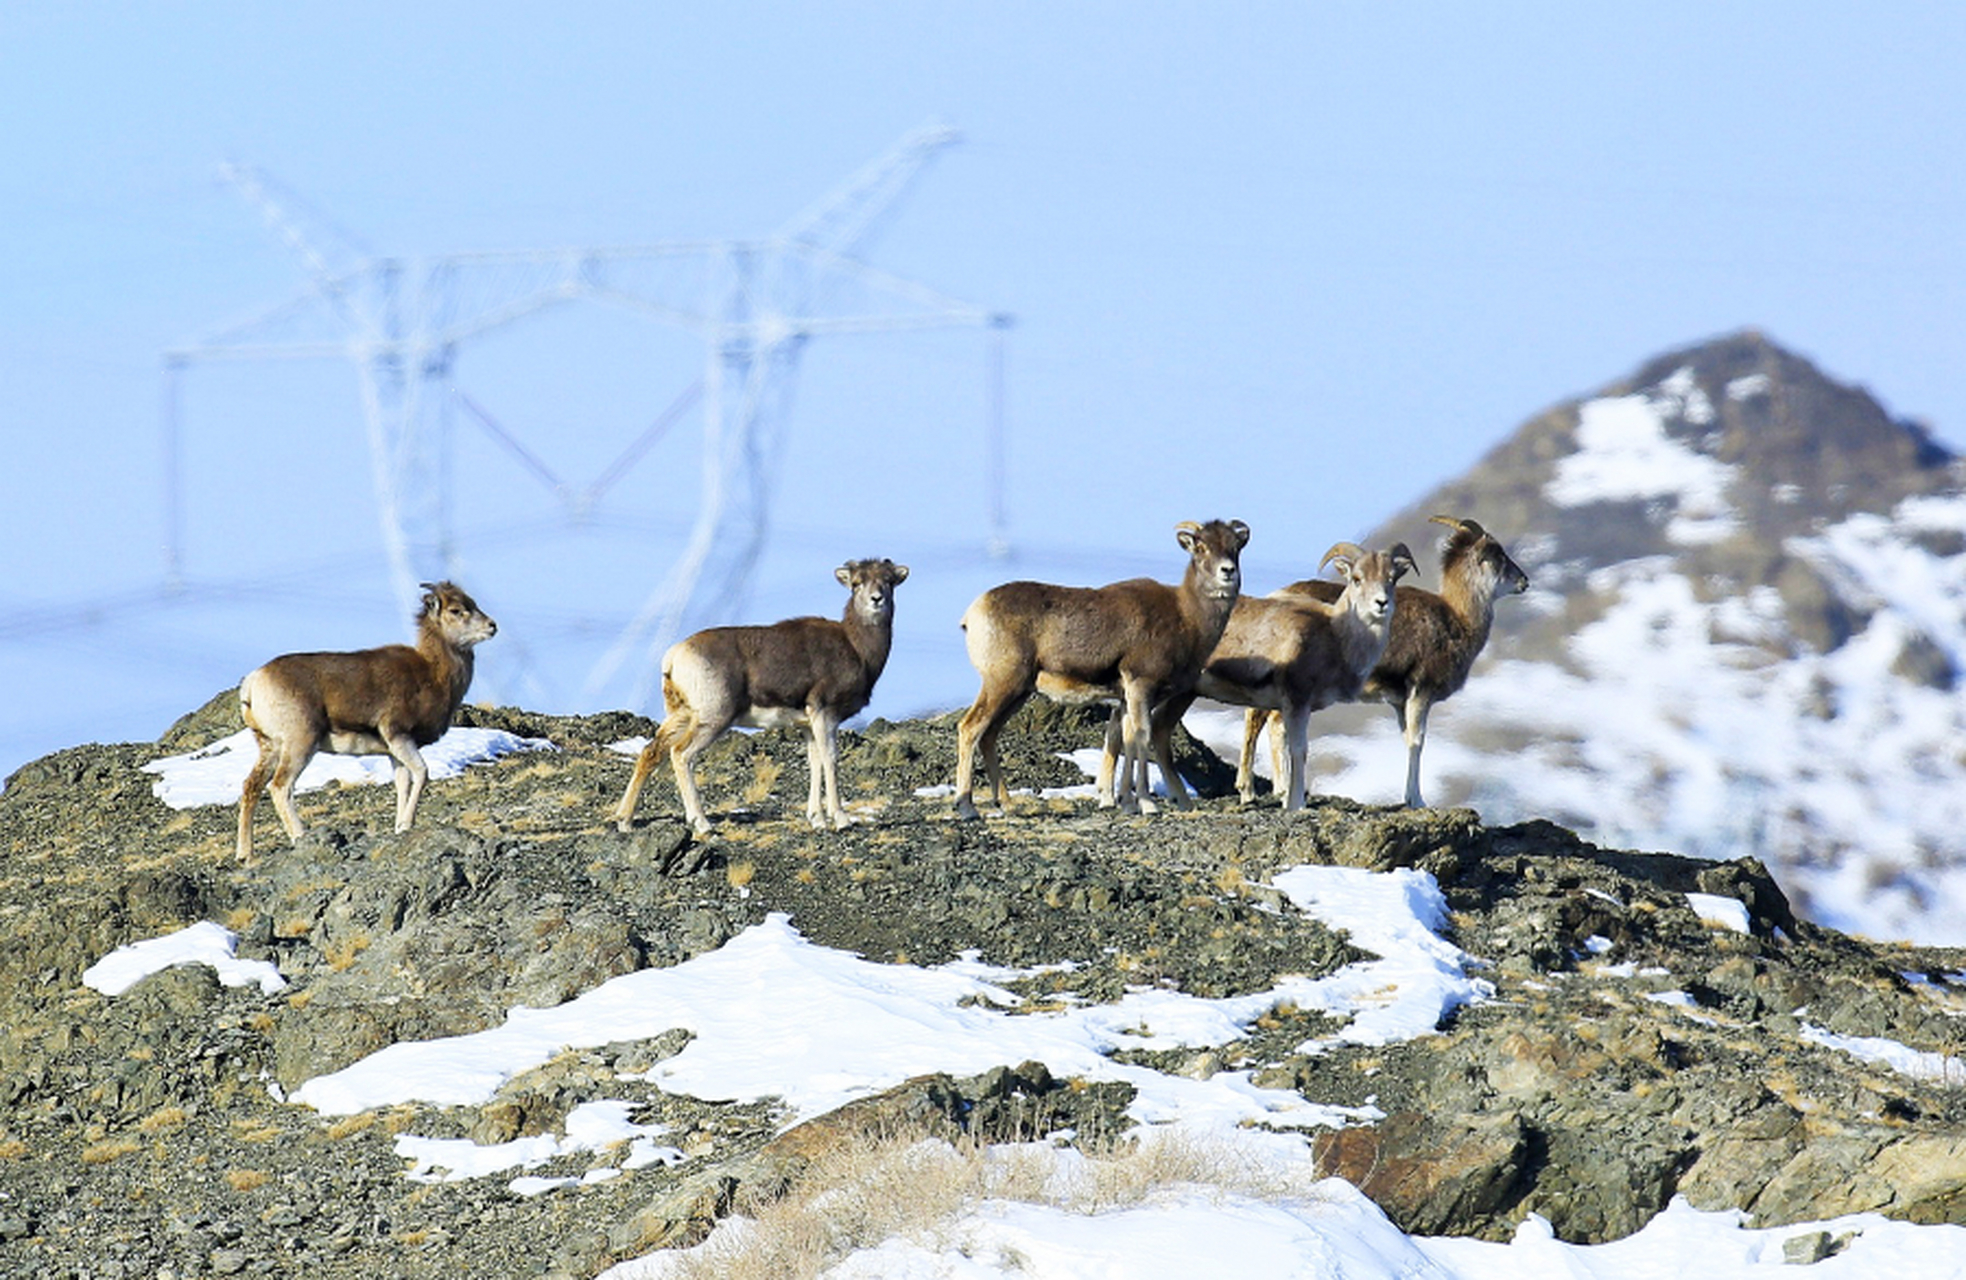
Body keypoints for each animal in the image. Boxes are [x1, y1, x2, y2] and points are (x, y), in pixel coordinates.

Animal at [233, 581, 495, 861]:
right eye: (456, 610)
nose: (492, 626)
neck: (432, 675)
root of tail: (254, 681)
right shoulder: (398, 736)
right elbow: (422, 774)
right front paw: (407, 824)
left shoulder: (394, 752)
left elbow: (403, 783)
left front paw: (400, 827)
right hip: (300, 745)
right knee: (280, 787)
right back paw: (300, 836)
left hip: (270, 747)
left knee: (251, 787)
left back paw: (245, 855)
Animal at [1108, 542, 1415, 810]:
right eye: (1357, 579)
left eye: (1391, 579)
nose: (1381, 603)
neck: (1334, 635)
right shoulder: (1296, 703)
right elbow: (1299, 751)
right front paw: (1295, 804)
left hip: (1182, 695)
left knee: (1155, 730)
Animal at [1258, 515, 1533, 806]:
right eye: (1497, 554)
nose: (1523, 581)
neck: (1458, 621)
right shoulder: (1421, 692)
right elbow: (1417, 742)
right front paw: (1416, 800)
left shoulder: (1401, 703)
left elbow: (1406, 740)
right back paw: (1284, 791)